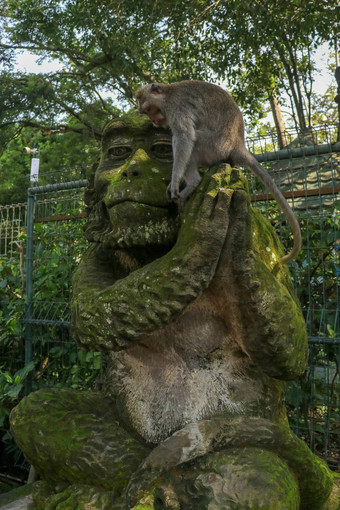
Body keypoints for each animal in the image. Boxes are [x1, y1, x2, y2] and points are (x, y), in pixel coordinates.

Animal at [135, 81, 300, 264]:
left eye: (149, 109)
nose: (153, 120)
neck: (167, 95)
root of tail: (238, 145)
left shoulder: (177, 109)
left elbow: (184, 136)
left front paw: (175, 180)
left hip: (214, 147)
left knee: (194, 140)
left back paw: (193, 183)